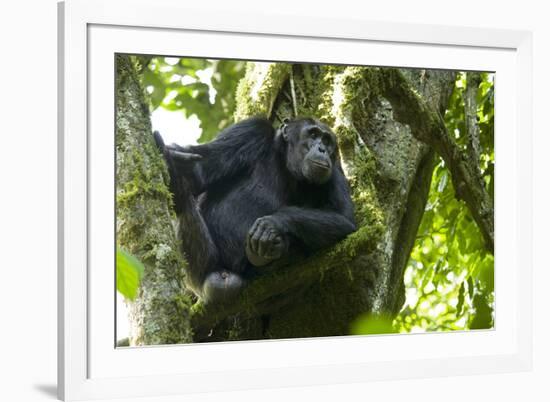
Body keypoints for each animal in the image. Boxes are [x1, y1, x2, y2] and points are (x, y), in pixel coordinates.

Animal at [154, 117, 358, 304]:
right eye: (313, 134)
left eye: (327, 140)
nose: (322, 149)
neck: (286, 164)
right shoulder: (250, 130)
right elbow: (198, 172)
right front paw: (171, 157)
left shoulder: (335, 168)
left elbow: (344, 218)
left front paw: (272, 224)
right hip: (200, 271)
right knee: (184, 201)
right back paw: (176, 181)